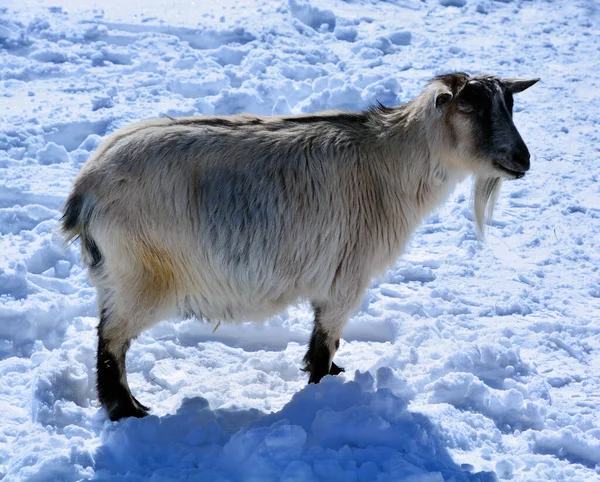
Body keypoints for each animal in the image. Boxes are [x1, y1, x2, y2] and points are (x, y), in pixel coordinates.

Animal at [62, 72, 540, 422]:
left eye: (510, 105)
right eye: (470, 107)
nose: (523, 159)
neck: (392, 162)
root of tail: (85, 191)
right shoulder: (347, 278)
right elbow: (325, 341)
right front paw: (322, 390)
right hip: (140, 278)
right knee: (111, 341)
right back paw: (127, 410)